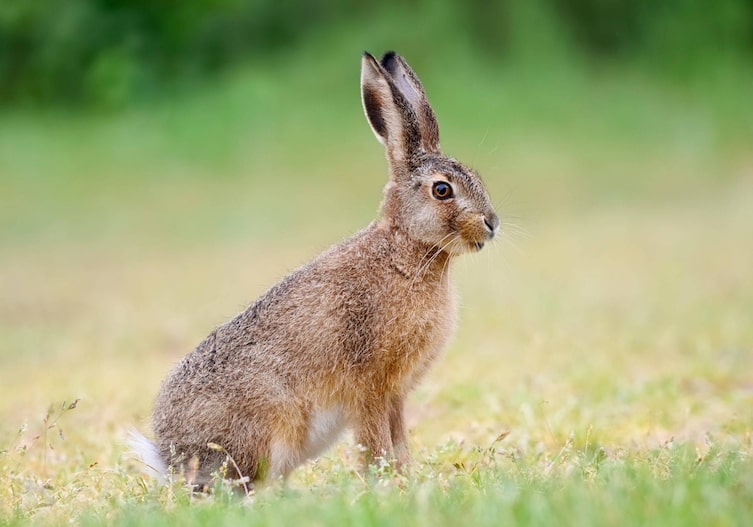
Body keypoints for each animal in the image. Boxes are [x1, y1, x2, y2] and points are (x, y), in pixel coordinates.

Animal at [130, 51, 499, 489]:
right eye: (442, 190)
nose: (492, 223)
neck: (405, 249)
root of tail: (171, 458)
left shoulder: (394, 395)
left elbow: (399, 440)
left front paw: (405, 480)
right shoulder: (371, 386)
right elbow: (377, 441)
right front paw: (386, 484)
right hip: (267, 429)